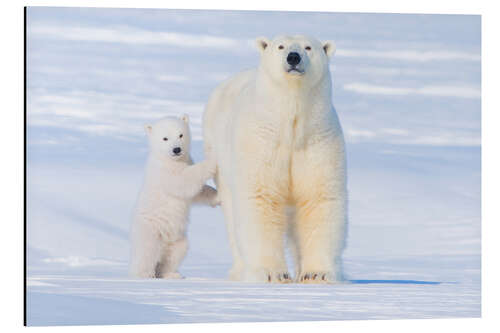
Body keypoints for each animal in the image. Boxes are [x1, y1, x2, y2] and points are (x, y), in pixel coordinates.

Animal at [203, 34, 348, 282]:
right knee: (232, 215)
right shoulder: (261, 140)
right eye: (281, 46)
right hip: (219, 156)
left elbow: (318, 198)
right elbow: (261, 197)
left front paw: (316, 274)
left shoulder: (318, 141)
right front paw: (272, 274)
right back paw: (239, 270)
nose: (293, 57)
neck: (290, 126)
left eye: (308, 47)